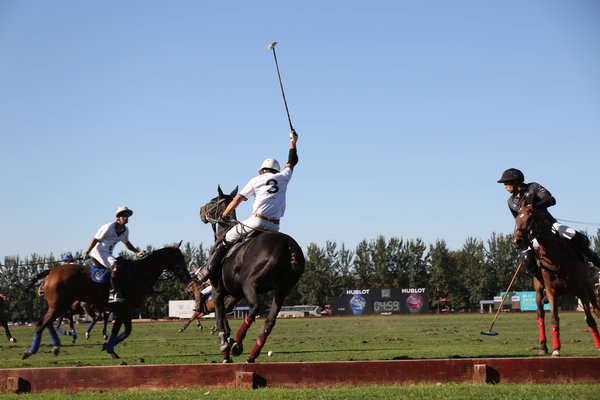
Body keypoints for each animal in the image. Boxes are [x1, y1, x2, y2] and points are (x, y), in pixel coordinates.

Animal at [22, 244, 191, 360]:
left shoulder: (126, 310)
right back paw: (32, 351)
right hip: (60, 306)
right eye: (178, 258)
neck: (139, 274)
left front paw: (105, 345)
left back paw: (55, 346)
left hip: (59, 306)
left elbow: (127, 331)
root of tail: (50, 272)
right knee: (42, 323)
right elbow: (117, 329)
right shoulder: (123, 310)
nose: (188, 277)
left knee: (46, 322)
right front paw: (110, 350)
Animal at [200, 187, 304, 362]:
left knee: (254, 307)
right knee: (270, 320)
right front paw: (228, 338)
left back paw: (238, 344)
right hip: (283, 288)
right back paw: (251, 354)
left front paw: (225, 346)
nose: (201, 211)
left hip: (250, 283)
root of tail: (289, 246)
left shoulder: (217, 290)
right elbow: (226, 311)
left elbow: (219, 313)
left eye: (213, 201)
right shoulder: (235, 294)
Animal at [510, 203, 600, 356]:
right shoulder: (552, 291)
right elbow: (554, 318)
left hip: (589, 287)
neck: (556, 259)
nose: (517, 241)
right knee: (540, 315)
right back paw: (542, 346)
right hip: (539, 291)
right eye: (516, 219)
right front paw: (556, 348)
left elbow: (590, 319)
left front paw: (599, 345)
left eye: (530, 218)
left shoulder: (581, 290)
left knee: (597, 310)